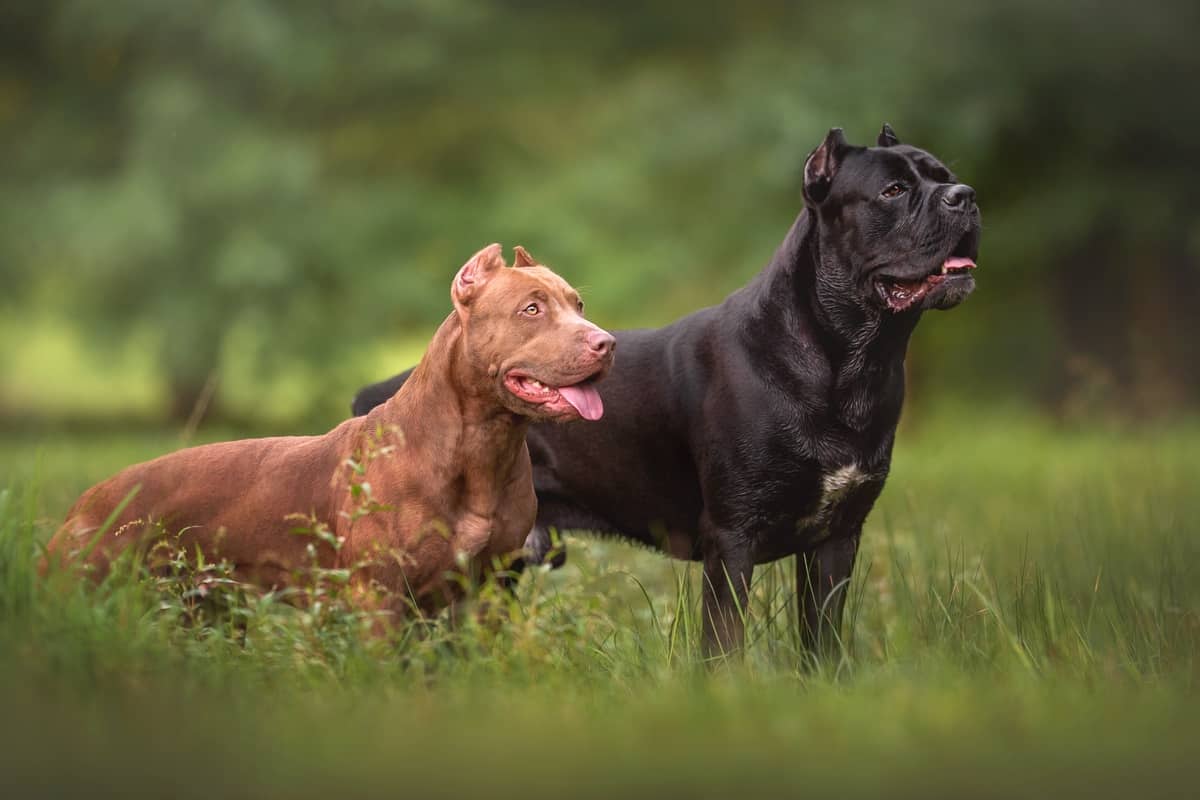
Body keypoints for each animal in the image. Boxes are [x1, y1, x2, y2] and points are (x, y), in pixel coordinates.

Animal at [350, 126, 979, 662]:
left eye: (944, 174)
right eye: (893, 190)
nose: (966, 196)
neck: (851, 357)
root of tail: (377, 395)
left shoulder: (836, 538)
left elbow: (820, 640)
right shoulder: (733, 539)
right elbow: (723, 646)